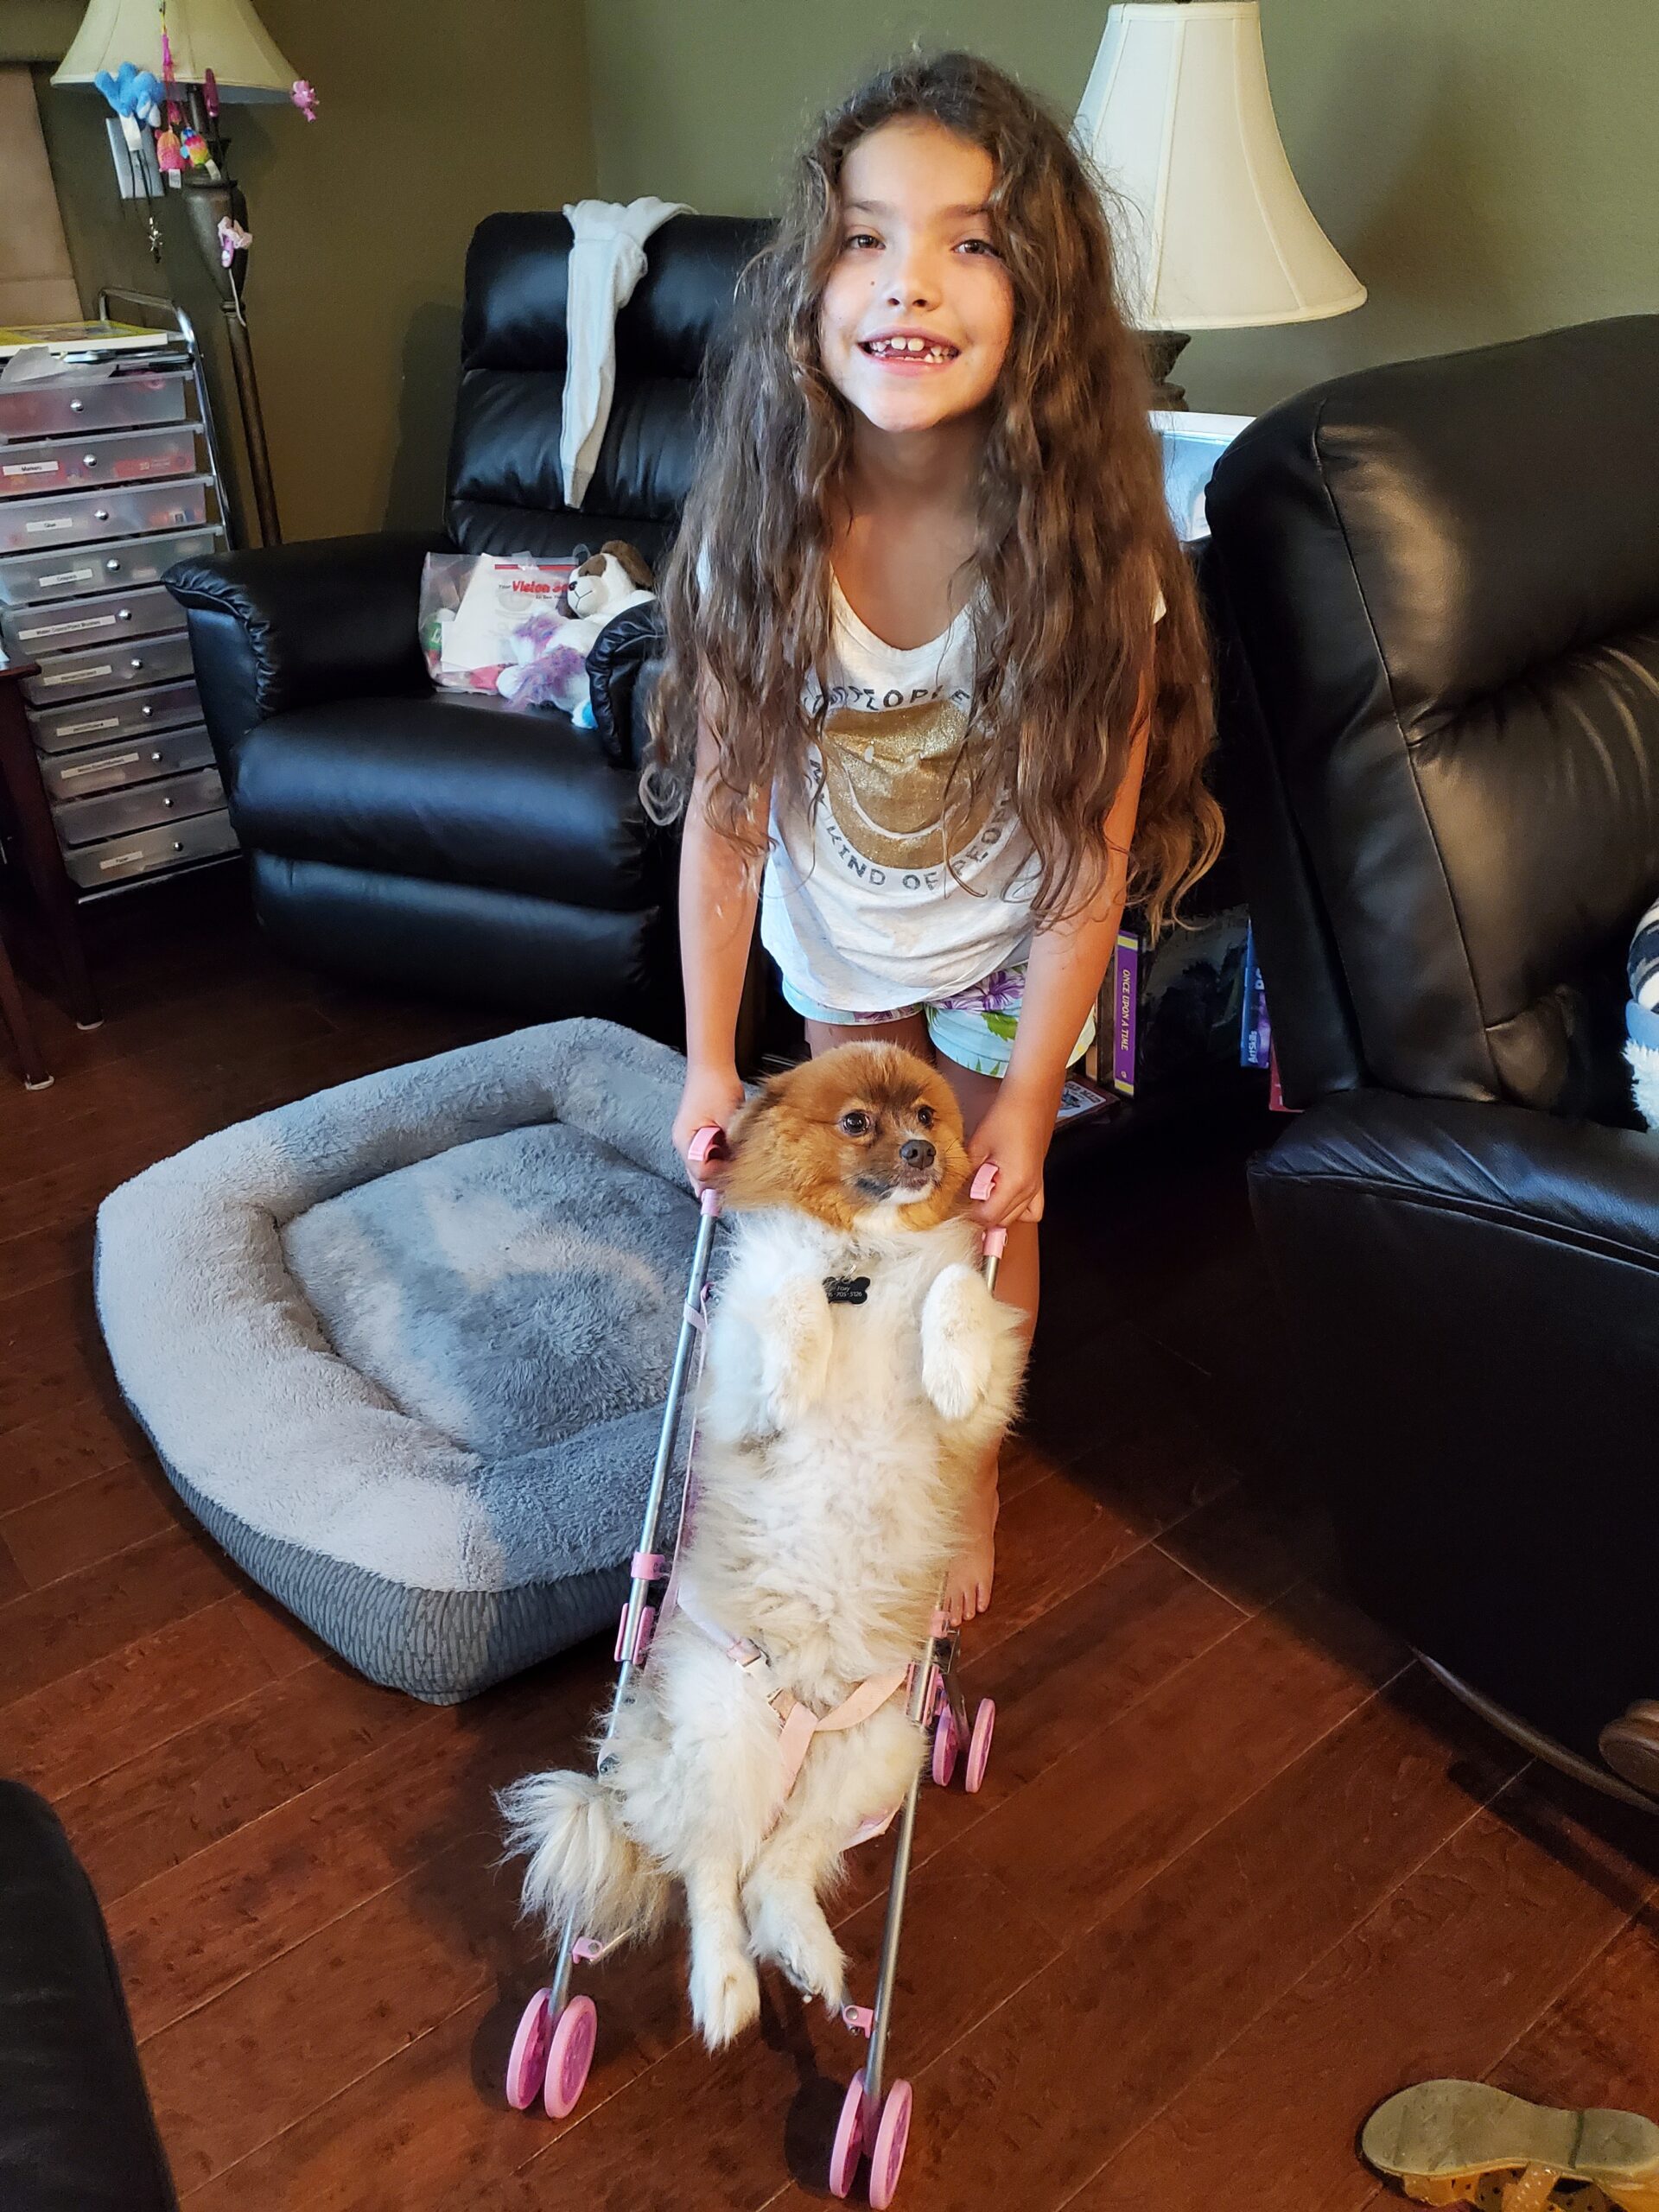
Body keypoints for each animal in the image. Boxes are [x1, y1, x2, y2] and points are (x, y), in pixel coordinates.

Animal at [499, 1044, 1035, 2044]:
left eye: (929, 1119)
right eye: (858, 1122)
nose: (921, 1154)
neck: (862, 1263)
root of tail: (794, 1739)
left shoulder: (970, 1408)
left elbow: (955, 1291)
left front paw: (947, 1351)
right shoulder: (743, 1398)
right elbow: (783, 1298)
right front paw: (802, 1307)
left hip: (875, 1755)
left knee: (774, 1869)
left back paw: (808, 1957)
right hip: (721, 1740)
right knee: (714, 1874)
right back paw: (725, 1989)